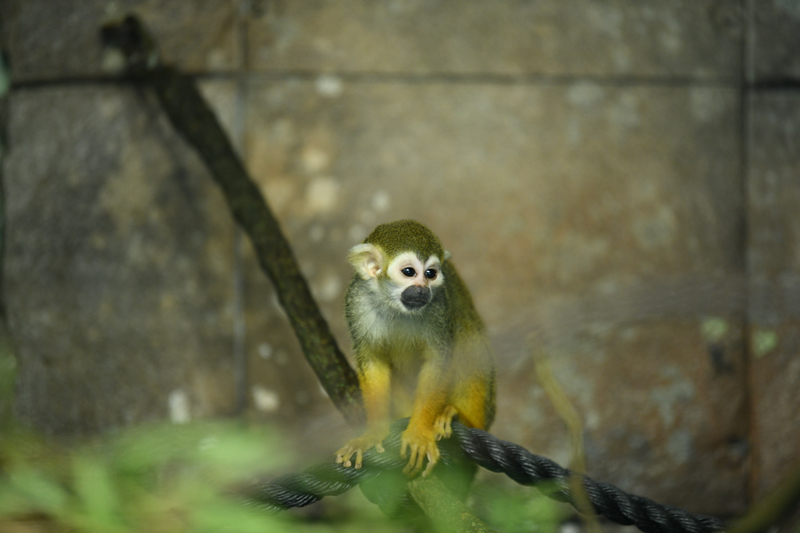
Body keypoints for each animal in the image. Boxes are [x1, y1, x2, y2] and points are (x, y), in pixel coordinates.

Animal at [335, 219, 495, 478]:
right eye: (409, 272)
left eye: (430, 274)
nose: (422, 289)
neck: (395, 306)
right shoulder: (357, 303)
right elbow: (372, 361)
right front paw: (372, 434)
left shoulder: (439, 306)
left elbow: (440, 359)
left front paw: (419, 433)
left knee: (464, 331)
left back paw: (460, 418)